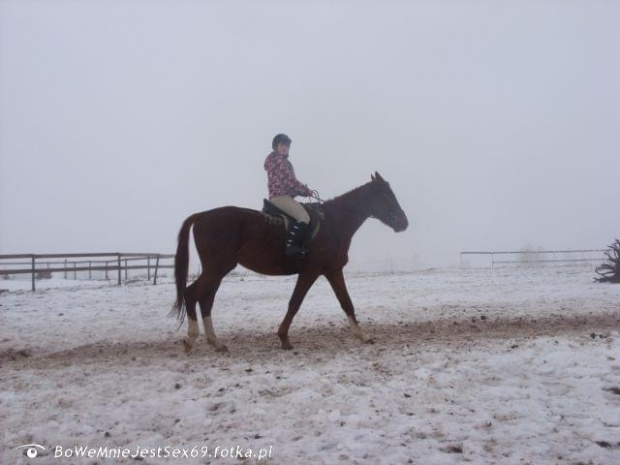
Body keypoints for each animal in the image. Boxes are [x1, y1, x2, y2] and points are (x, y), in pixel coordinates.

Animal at [172, 171, 410, 352]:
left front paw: (362, 335)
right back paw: (191, 338)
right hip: (217, 268)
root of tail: (202, 215)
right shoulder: (311, 271)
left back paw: (215, 342)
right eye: (386, 194)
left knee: (205, 300)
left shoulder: (333, 270)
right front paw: (284, 338)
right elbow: (295, 303)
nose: (403, 222)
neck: (334, 223)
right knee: (192, 294)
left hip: (217, 270)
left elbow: (346, 301)